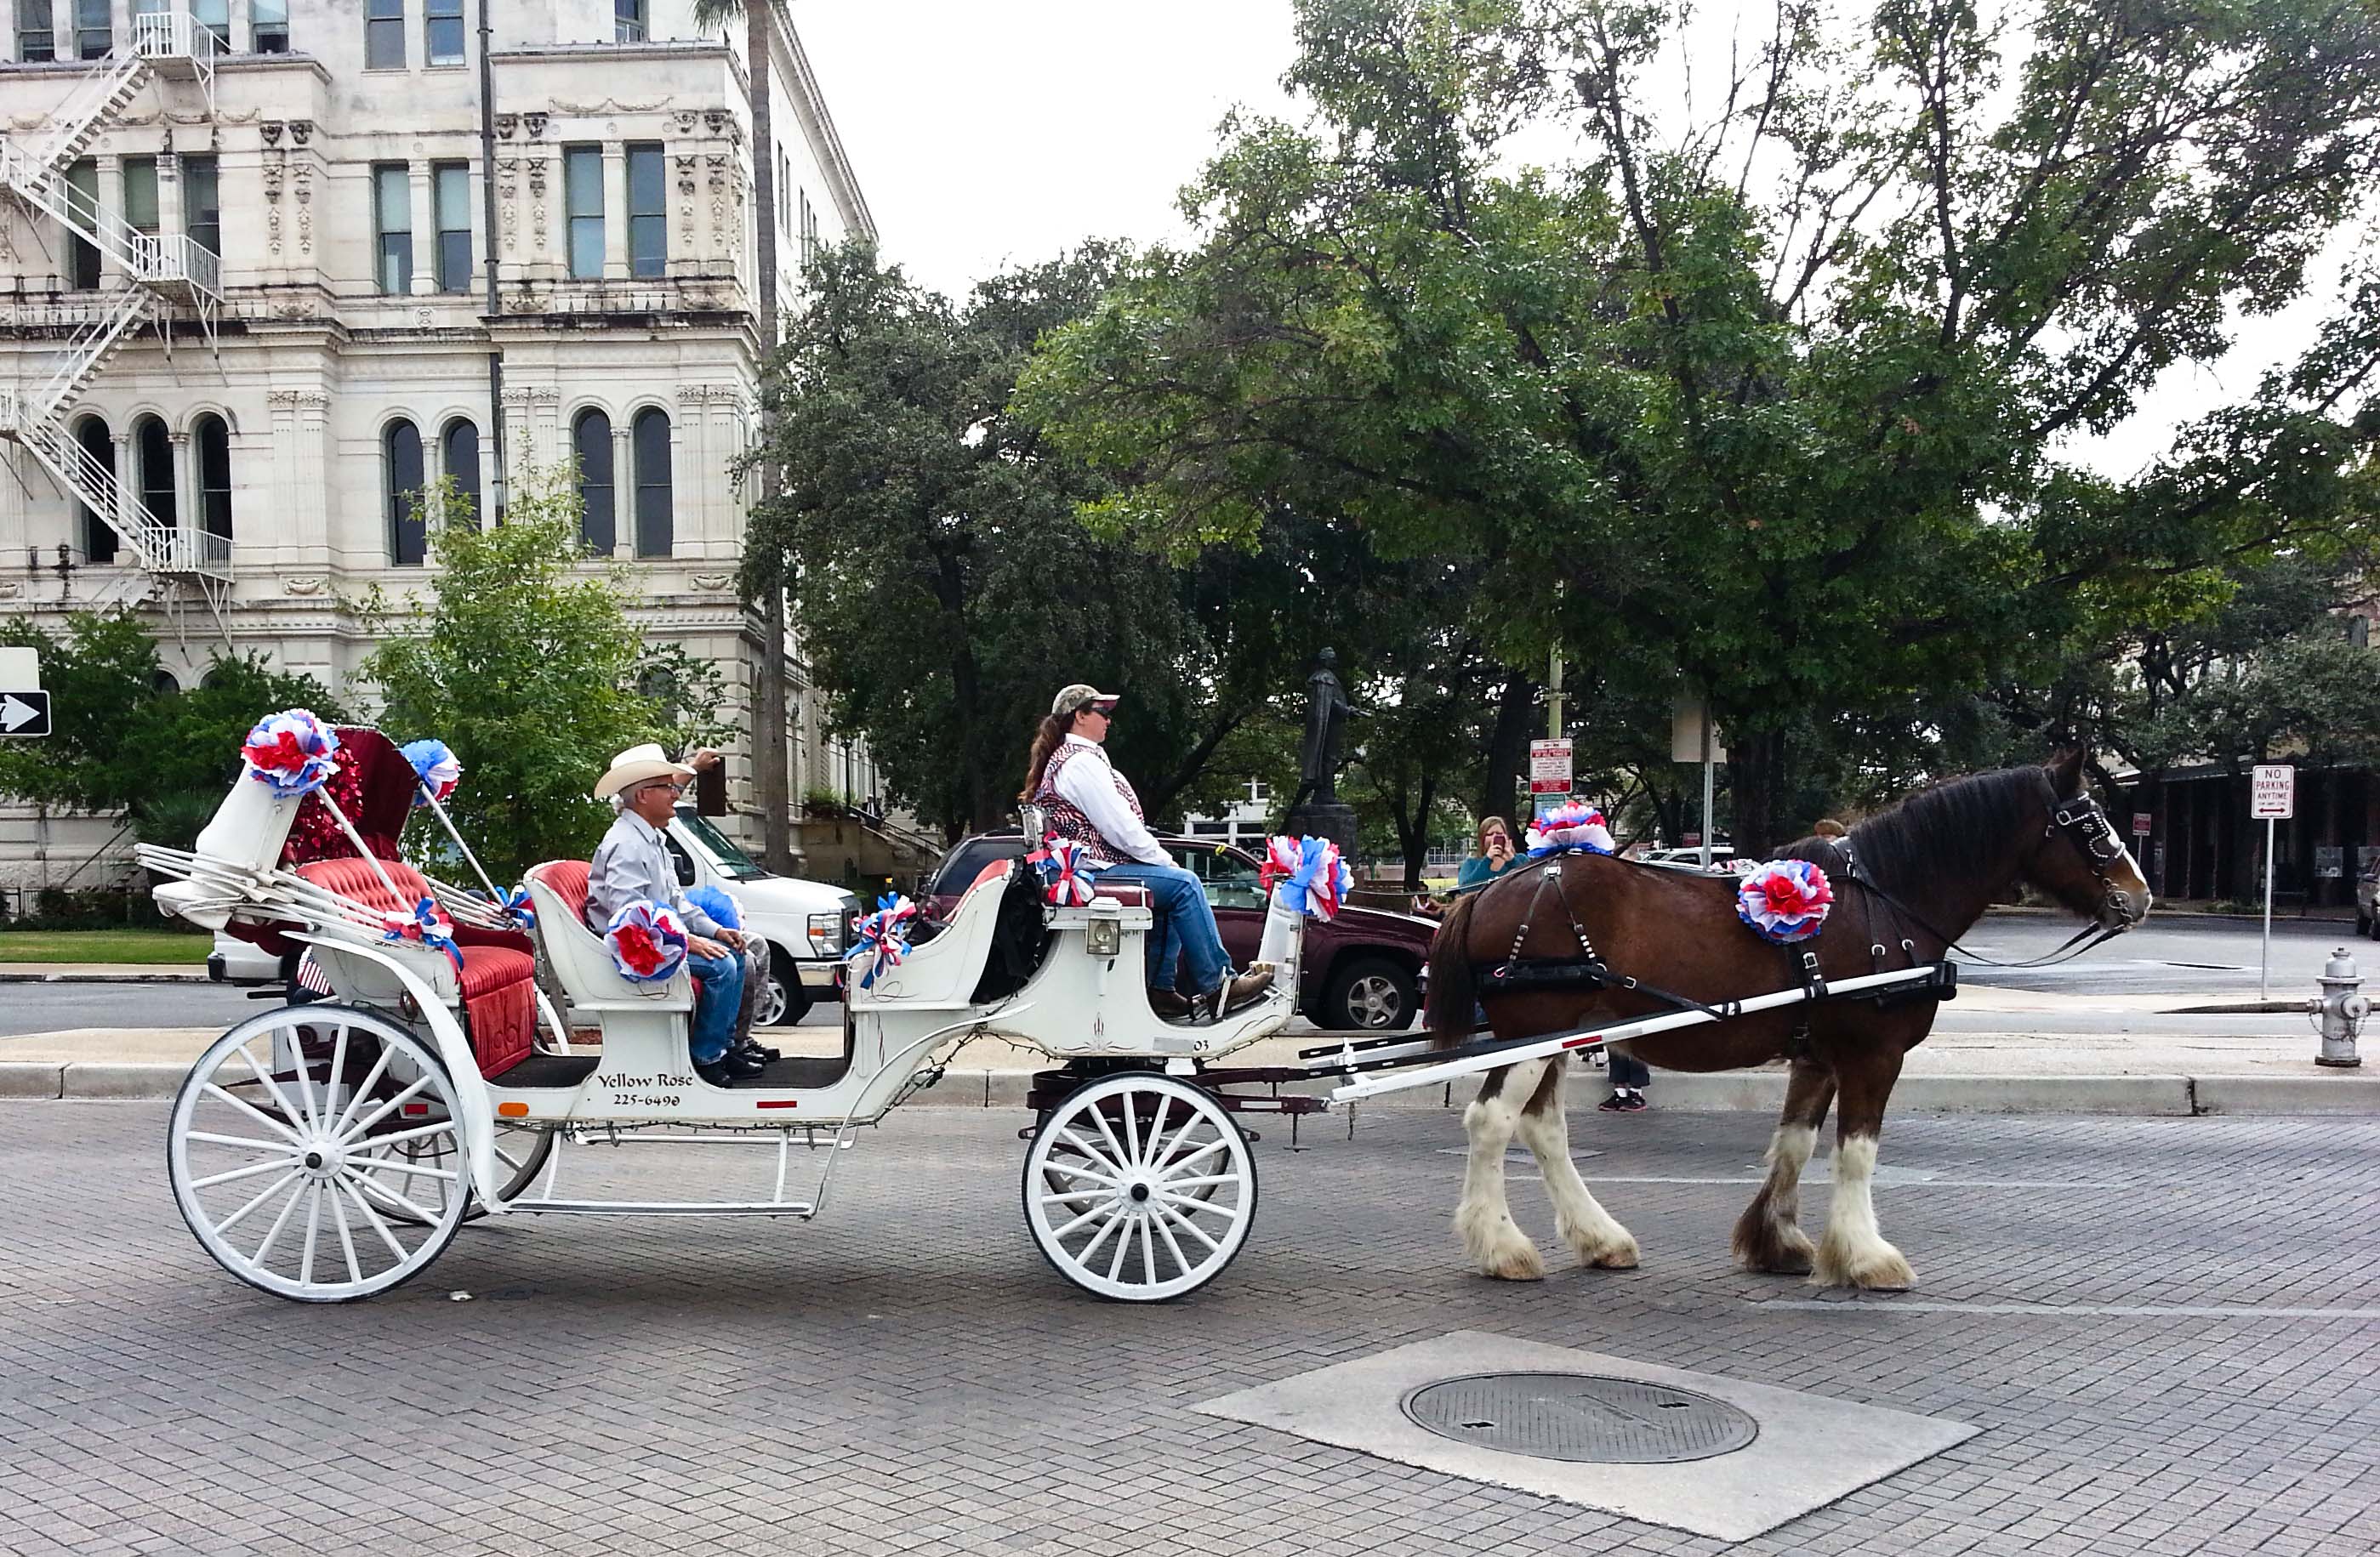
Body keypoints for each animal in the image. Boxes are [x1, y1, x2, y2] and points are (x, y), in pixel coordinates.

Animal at [1421, 751, 2151, 1290]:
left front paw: (1777, 1241)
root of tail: (1492, 889)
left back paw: (1599, 1238)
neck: (1886, 902)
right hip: (1532, 1035)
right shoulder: (1875, 1054)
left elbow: (1797, 1143)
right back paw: (1502, 1247)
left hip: (1558, 1036)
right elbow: (1856, 1152)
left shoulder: (1818, 1055)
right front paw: (1866, 1255)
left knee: (1543, 1129)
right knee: (1492, 1122)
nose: (2140, 896)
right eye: (2088, 823)